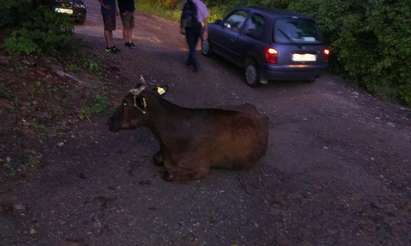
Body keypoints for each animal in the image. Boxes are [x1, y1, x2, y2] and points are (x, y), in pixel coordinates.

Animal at [108, 82, 270, 181]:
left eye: (125, 103)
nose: (109, 122)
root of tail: (259, 113)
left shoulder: (201, 168)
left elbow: (168, 174)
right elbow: (156, 159)